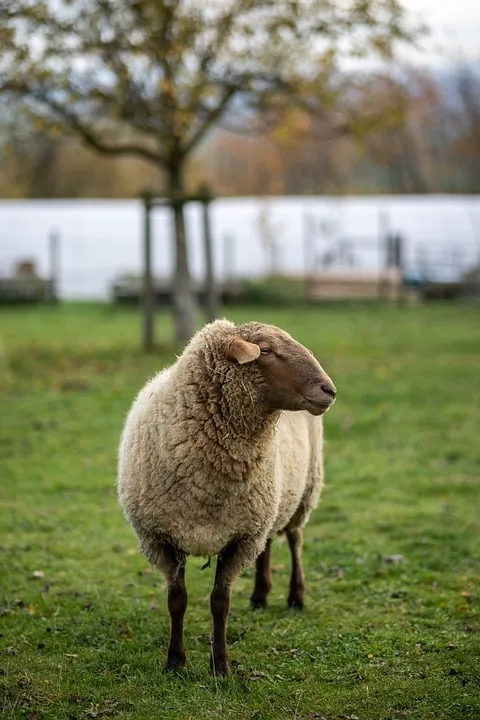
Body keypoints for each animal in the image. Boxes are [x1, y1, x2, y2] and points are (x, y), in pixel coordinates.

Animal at [117, 320, 336, 676]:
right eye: (267, 351)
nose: (329, 390)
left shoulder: (239, 539)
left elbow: (220, 603)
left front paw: (220, 665)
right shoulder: (162, 538)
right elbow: (177, 601)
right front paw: (175, 662)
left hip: (304, 491)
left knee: (294, 539)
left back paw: (296, 596)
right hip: (268, 506)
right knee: (269, 543)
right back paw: (260, 595)